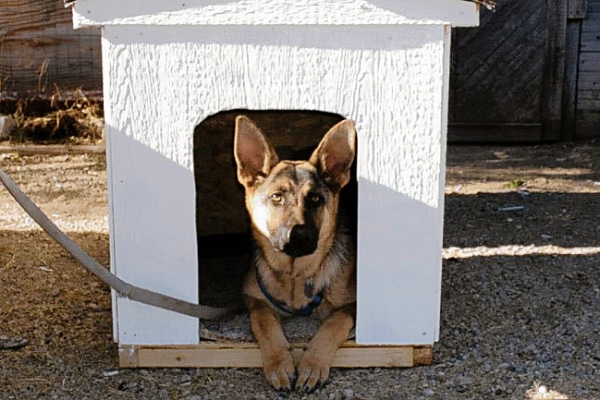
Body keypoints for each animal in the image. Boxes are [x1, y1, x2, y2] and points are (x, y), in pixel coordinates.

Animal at [233, 115, 356, 390]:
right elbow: (263, 318)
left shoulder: (353, 305)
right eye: (277, 197)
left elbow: (335, 321)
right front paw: (279, 364)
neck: (294, 275)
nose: (300, 236)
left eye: (315, 199)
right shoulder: (252, 298)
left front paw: (313, 364)